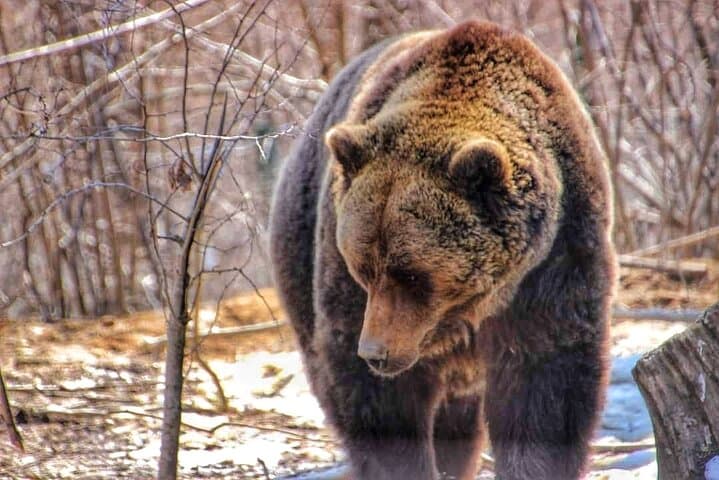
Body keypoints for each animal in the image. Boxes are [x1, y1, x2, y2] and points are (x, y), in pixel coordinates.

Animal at [269, 20, 616, 480]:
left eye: (412, 273)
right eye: (363, 268)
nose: (376, 352)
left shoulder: (555, 260)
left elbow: (546, 383)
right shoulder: (347, 285)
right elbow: (378, 406)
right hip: (299, 245)